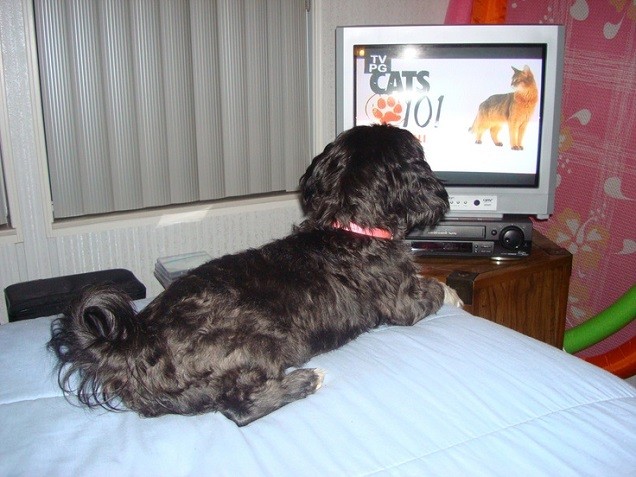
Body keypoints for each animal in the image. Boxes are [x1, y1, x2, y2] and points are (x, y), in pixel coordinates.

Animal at [48, 122, 458, 424]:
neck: (351, 226)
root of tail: (132, 343)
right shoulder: (402, 302)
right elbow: (433, 289)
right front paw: (451, 293)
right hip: (258, 340)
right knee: (240, 407)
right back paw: (305, 381)